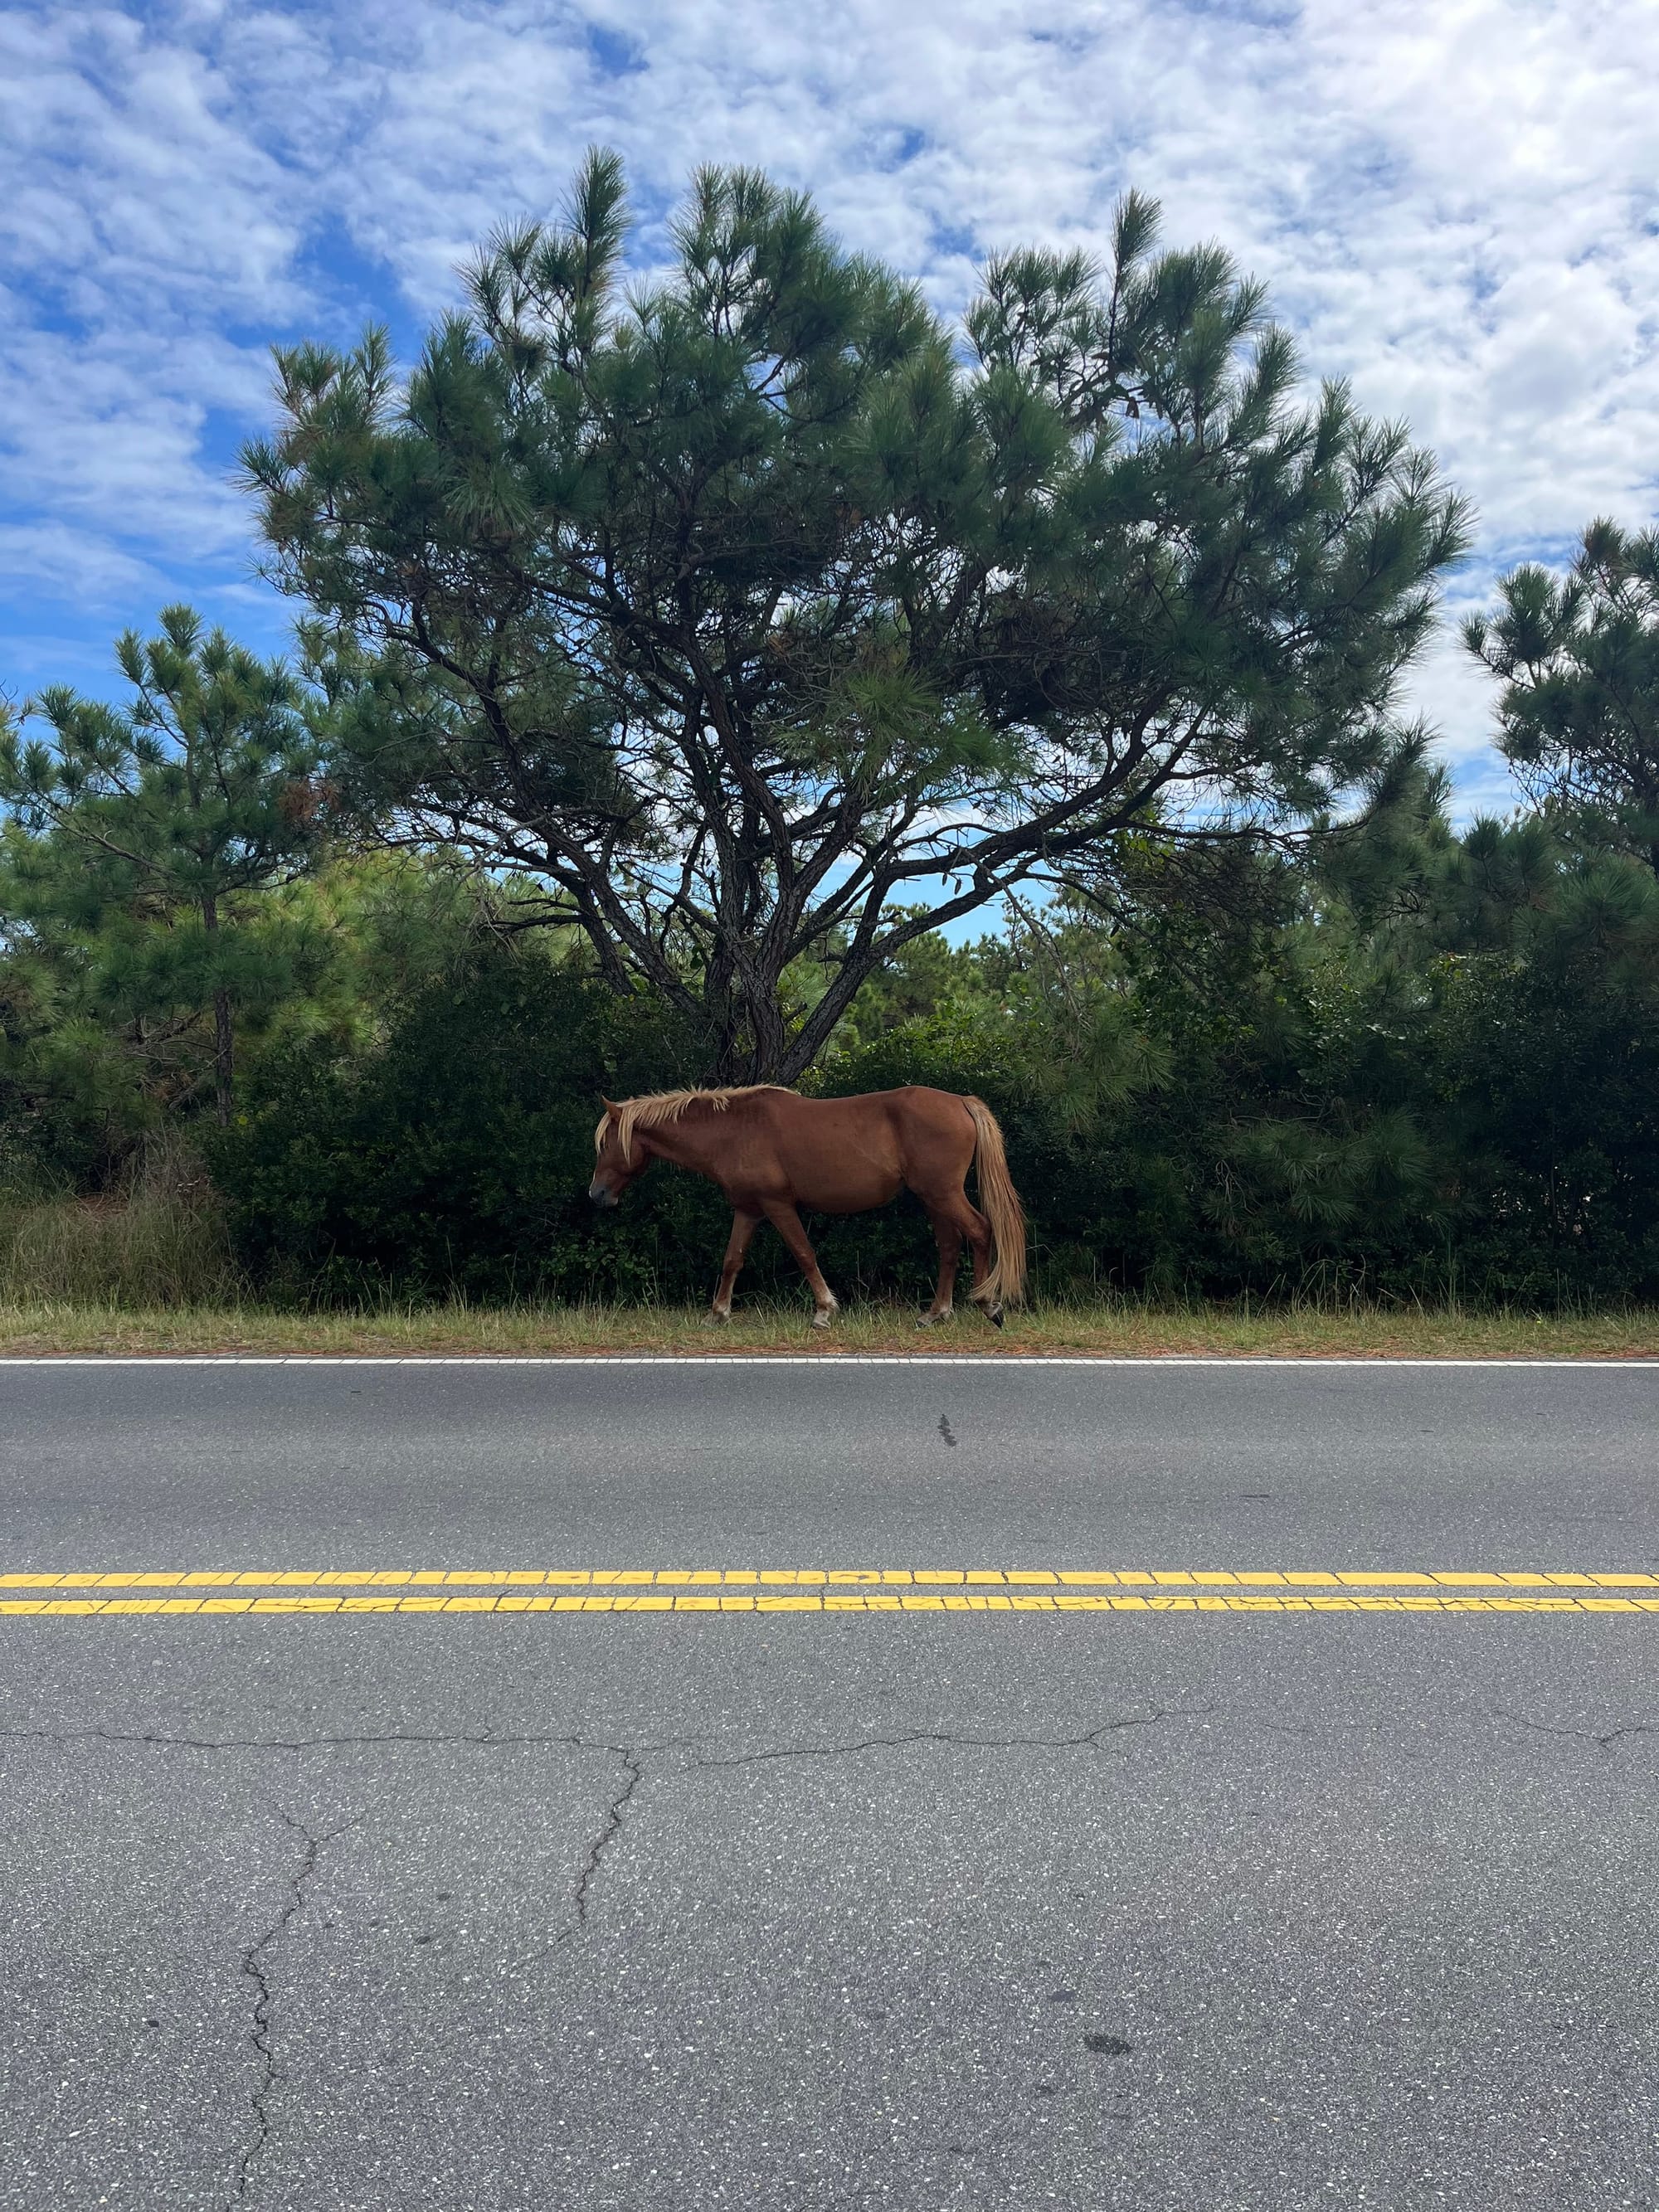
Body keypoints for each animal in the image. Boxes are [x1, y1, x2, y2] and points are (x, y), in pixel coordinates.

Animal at [588, 1084, 1027, 1329]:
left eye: (606, 1142)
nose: (596, 1195)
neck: (733, 1130)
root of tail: (961, 1102)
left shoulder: (778, 1205)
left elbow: (803, 1253)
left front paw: (824, 1310)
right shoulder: (748, 1209)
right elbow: (732, 1260)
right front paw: (717, 1313)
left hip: (943, 1194)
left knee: (980, 1231)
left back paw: (988, 1305)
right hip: (934, 1198)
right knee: (950, 1247)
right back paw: (935, 1313)